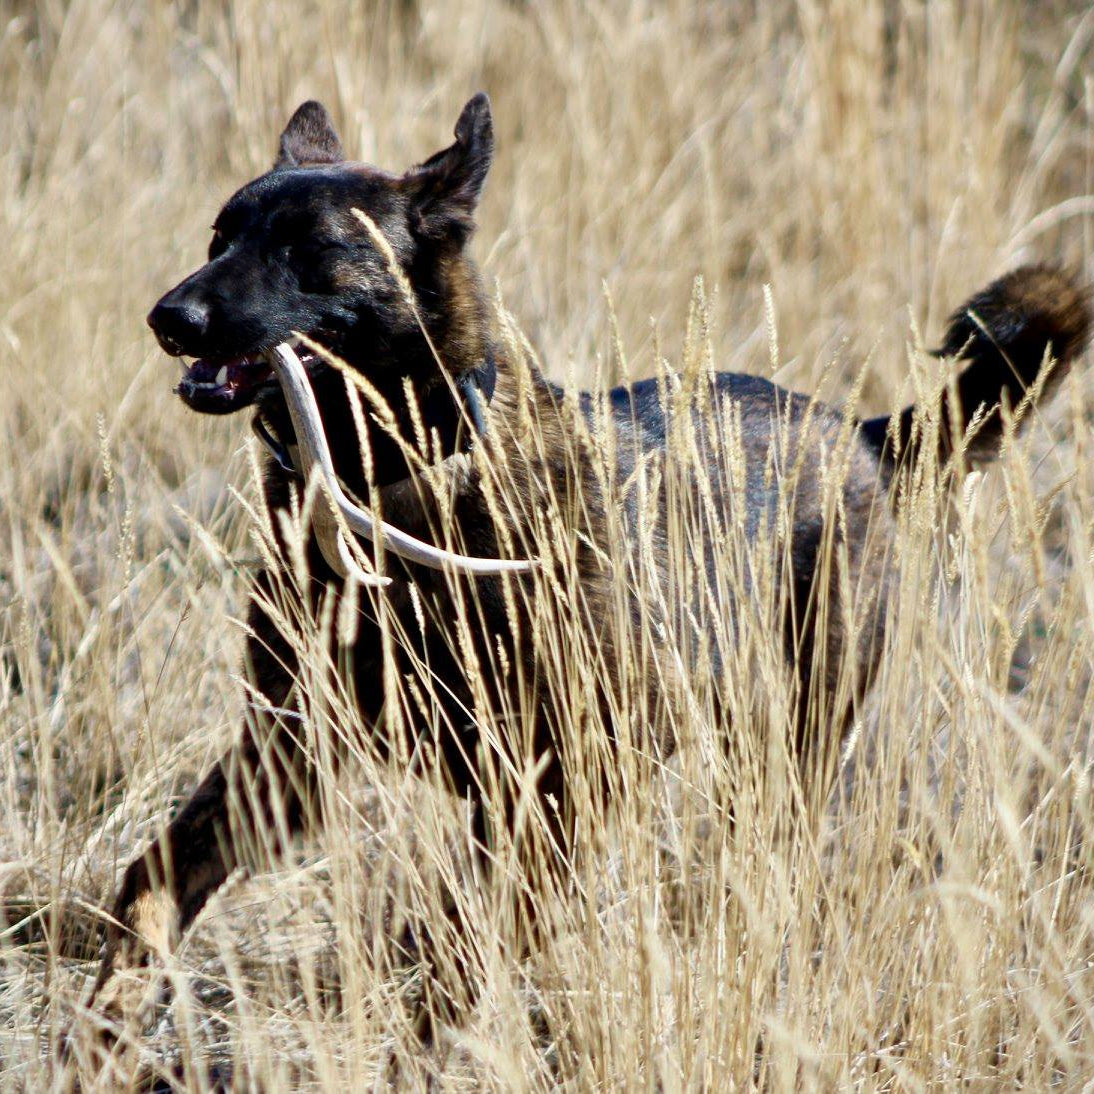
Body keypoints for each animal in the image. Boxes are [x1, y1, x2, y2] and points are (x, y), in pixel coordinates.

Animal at [79, 92, 1089, 1066]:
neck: (397, 483)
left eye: (306, 248)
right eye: (220, 237)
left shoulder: (557, 792)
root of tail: (868, 431)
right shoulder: (286, 756)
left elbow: (454, 955)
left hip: (782, 749)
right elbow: (152, 885)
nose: (170, 319)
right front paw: (102, 1030)